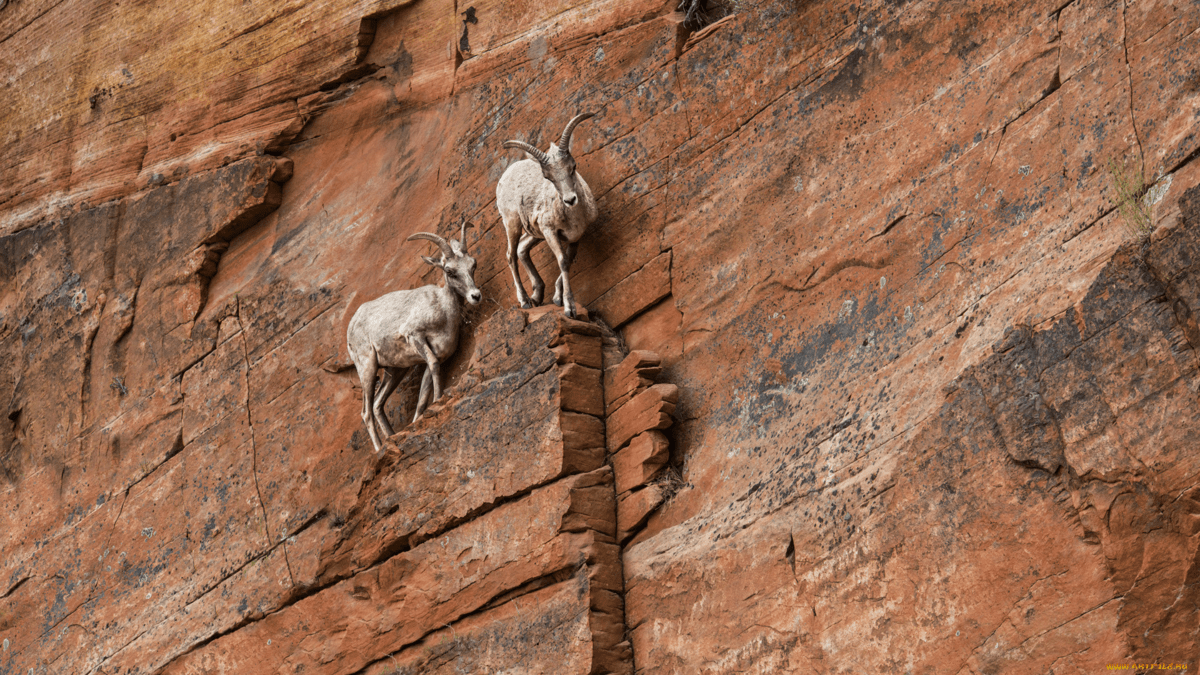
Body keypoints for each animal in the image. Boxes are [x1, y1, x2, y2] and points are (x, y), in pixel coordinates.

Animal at [345, 222, 480, 451]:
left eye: (473, 265)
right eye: (449, 271)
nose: (476, 296)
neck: (444, 311)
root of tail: (352, 324)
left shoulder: (432, 356)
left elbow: (423, 394)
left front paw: (419, 420)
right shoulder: (415, 337)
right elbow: (434, 368)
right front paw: (439, 399)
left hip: (395, 371)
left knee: (378, 404)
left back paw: (392, 439)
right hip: (367, 368)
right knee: (366, 412)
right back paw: (380, 448)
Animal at [494, 111, 597, 317]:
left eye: (573, 167)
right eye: (548, 177)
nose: (570, 200)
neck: (574, 217)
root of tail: (505, 176)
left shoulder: (575, 237)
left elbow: (567, 261)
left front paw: (557, 298)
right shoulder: (550, 231)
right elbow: (562, 261)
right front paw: (569, 308)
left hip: (534, 232)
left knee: (522, 249)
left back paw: (537, 296)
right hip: (513, 224)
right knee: (511, 255)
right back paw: (525, 301)